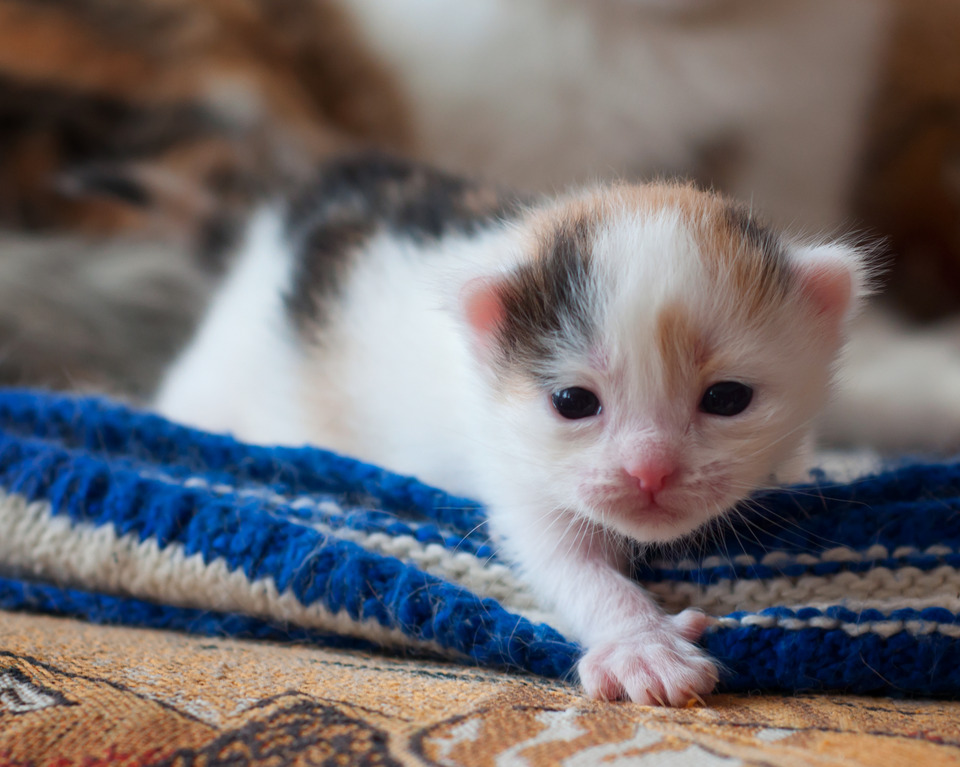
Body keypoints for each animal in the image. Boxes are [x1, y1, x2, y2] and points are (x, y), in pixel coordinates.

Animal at [156, 158, 872, 708]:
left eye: (727, 398)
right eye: (573, 402)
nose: (650, 470)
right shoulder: (514, 469)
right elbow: (565, 560)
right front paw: (642, 646)